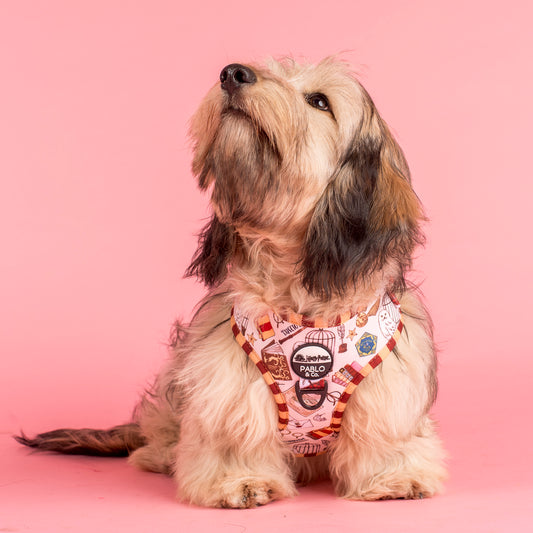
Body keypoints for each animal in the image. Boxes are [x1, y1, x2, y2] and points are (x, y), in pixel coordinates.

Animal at [17, 57, 447, 508]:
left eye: (319, 101)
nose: (233, 73)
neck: (300, 295)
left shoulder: (387, 389)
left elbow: (382, 436)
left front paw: (393, 476)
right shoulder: (228, 386)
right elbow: (236, 435)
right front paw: (240, 481)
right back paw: (161, 452)